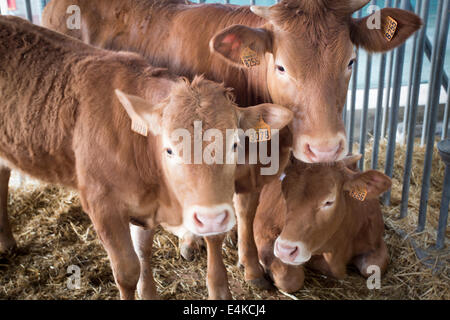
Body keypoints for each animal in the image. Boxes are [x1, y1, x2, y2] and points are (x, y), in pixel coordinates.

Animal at [0, 15, 292, 300]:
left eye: (234, 144)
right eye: (169, 150)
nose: (211, 218)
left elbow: (143, 252)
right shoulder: (102, 206)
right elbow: (128, 270)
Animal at [255, 156, 392, 294]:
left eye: (329, 201)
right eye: (284, 195)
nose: (285, 250)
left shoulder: (375, 239)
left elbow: (375, 266)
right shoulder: (263, 229)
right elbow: (290, 279)